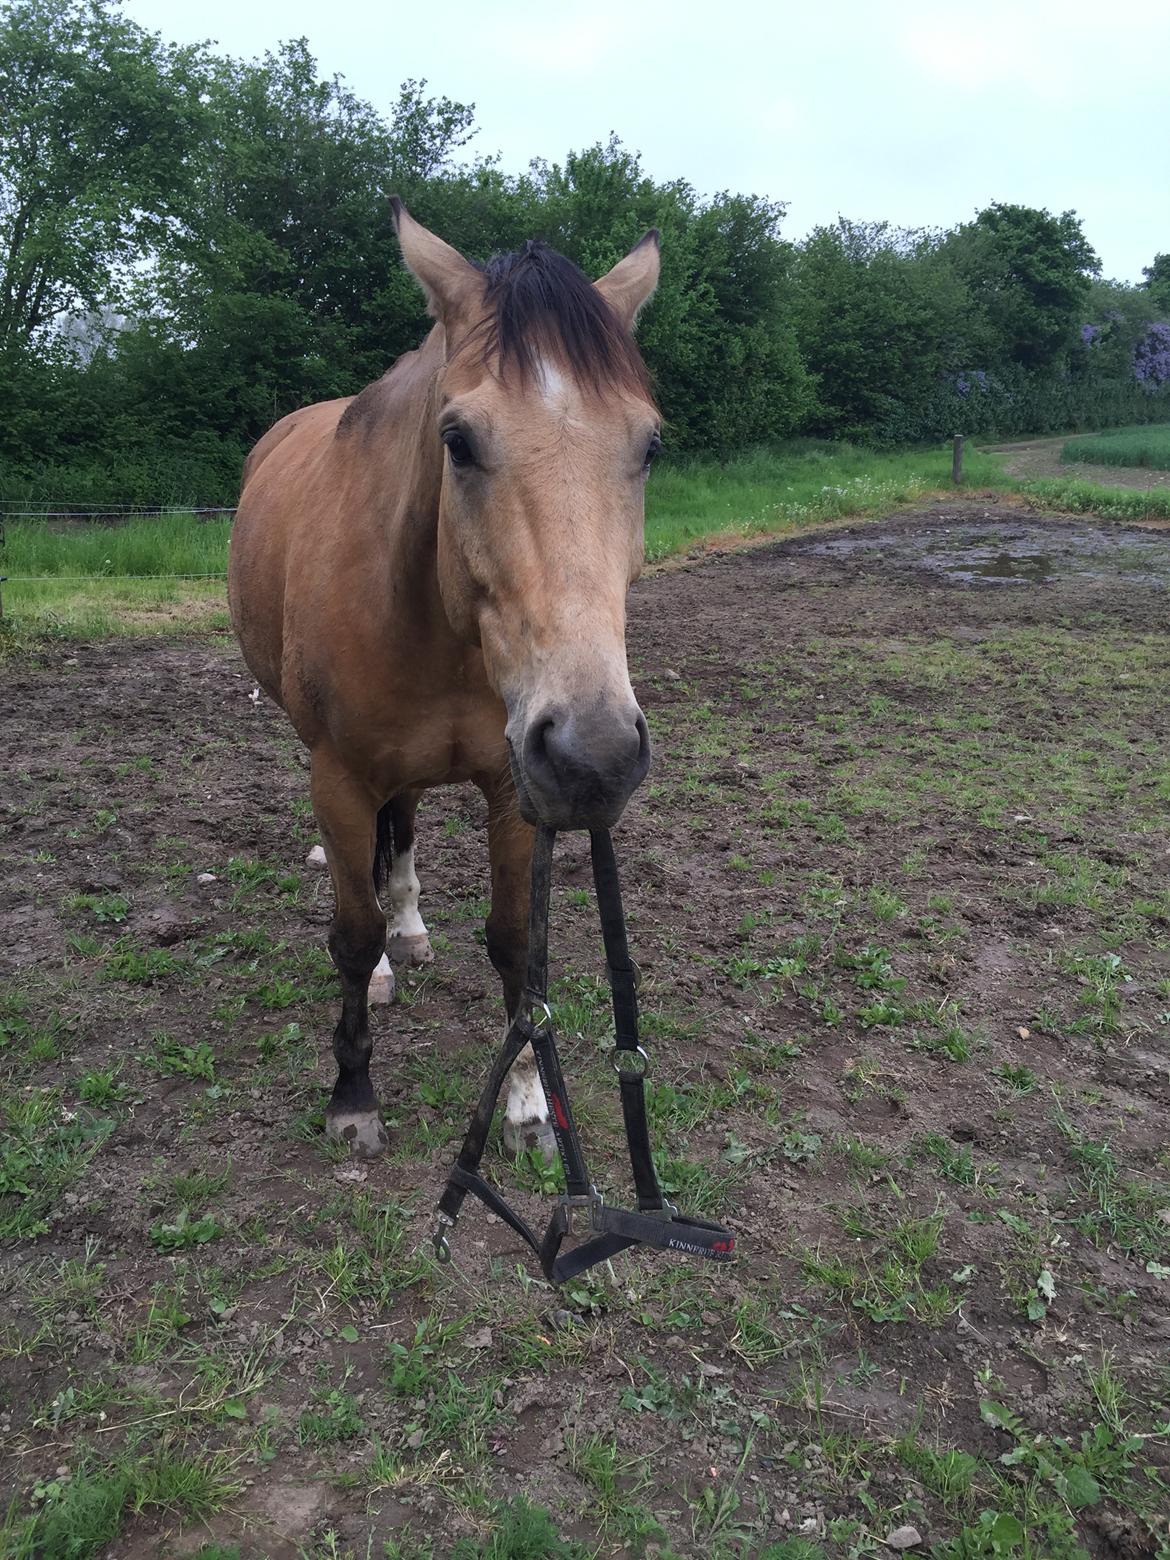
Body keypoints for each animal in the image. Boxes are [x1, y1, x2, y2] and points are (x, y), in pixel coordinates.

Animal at [229, 201, 664, 1160]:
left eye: (650, 445)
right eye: (457, 441)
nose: (594, 756)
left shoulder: (514, 785)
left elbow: (515, 944)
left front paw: (530, 1105)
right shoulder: (340, 775)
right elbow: (351, 935)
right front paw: (353, 1094)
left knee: (405, 826)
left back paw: (412, 927)